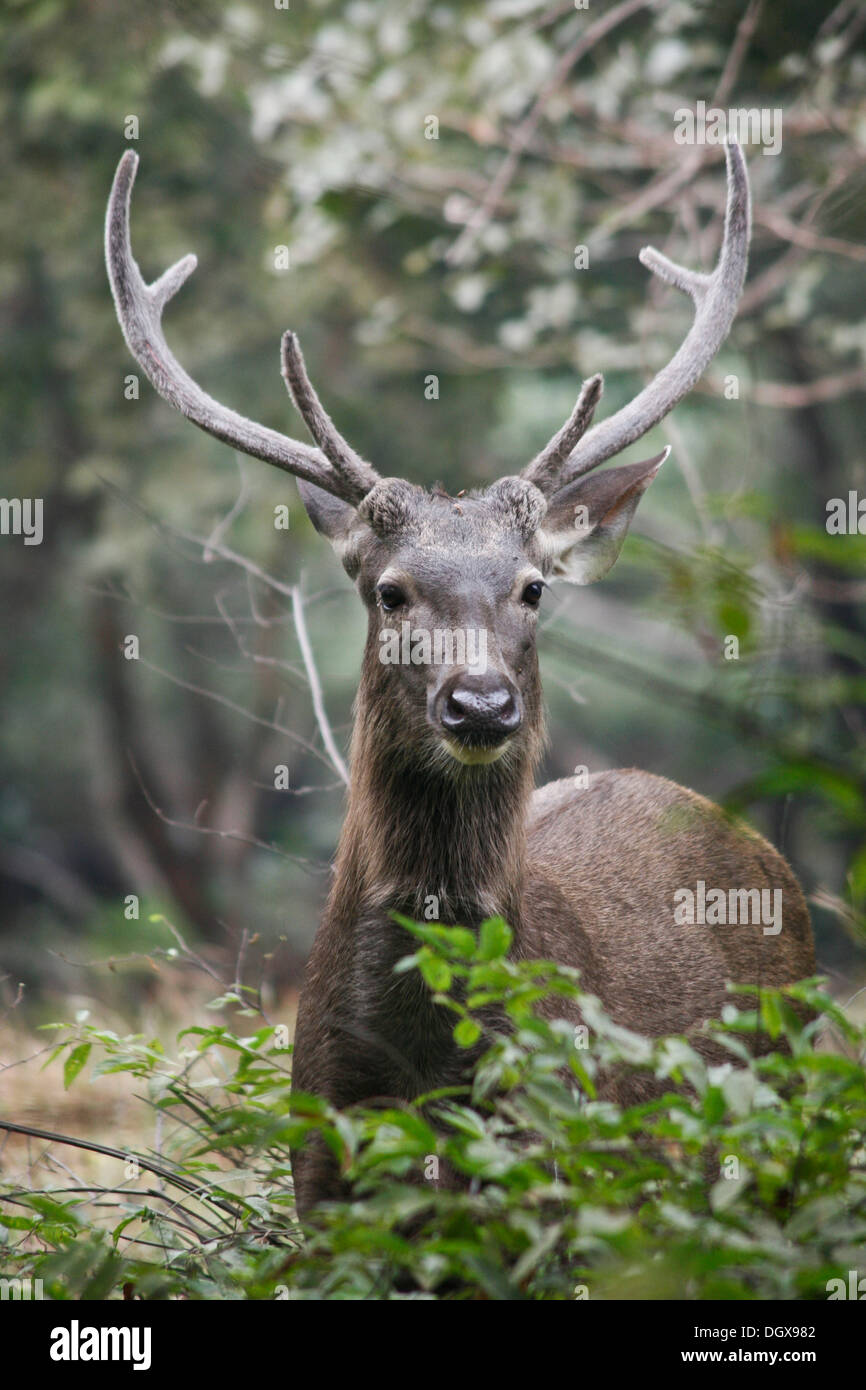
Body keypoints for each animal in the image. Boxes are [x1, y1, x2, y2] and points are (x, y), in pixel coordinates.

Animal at [104, 135, 817, 1212]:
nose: (480, 702)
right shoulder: (322, 1157)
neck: (430, 1060)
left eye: (532, 588)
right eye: (390, 591)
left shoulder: (556, 1154)